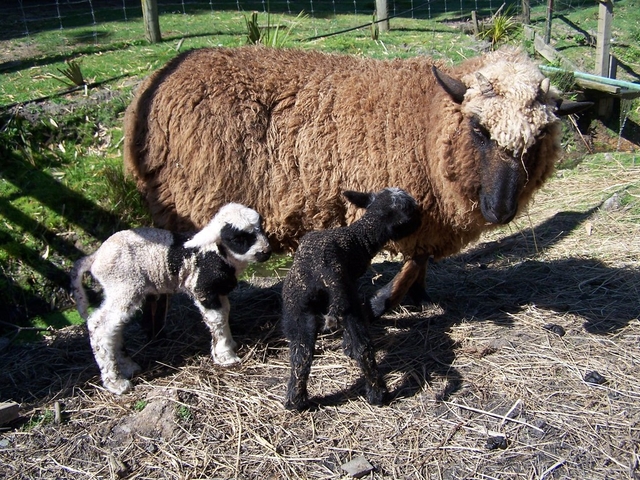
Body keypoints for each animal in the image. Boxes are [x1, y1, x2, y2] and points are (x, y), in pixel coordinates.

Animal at [71, 202, 272, 394]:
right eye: (238, 238)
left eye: (261, 228)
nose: (266, 252)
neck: (217, 253)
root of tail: (95, 257)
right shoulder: (203, 289)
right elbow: (217, 319)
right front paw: (225, 355)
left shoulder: (218, 291)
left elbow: (225, 313)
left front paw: (230, 344)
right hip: (124, 286)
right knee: (99, 326)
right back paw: (116, 383)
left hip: (119, 291)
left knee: (113, 328)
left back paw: (128, 367)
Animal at [124, 44, 592, 316]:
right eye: (479, 129)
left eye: (538, 140)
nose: (500, 211)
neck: (426, 121)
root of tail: (149, 89)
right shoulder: (398, 204)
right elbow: (413, 260)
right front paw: (386, 300)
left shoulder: (428, 214)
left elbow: (421, 259)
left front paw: (418, 296)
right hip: (187, 199)